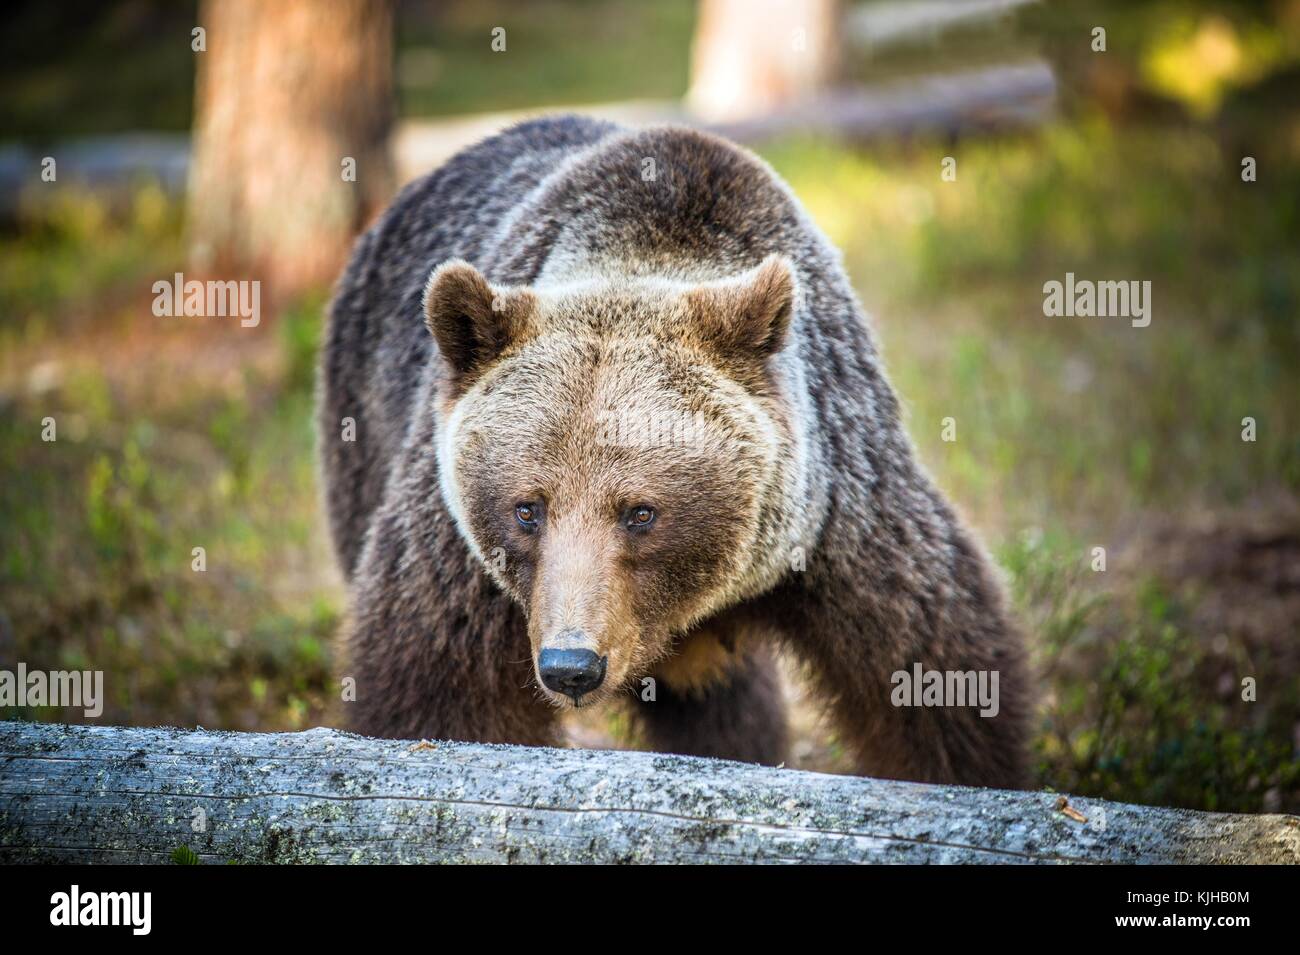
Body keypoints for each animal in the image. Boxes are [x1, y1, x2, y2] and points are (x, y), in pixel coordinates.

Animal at [318, 115, 1032, 788]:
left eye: (640, 512)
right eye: (527, 508)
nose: (571, 665)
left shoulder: (840, 511)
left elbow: (931, 666)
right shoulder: (458, 556)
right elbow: (438, 687)